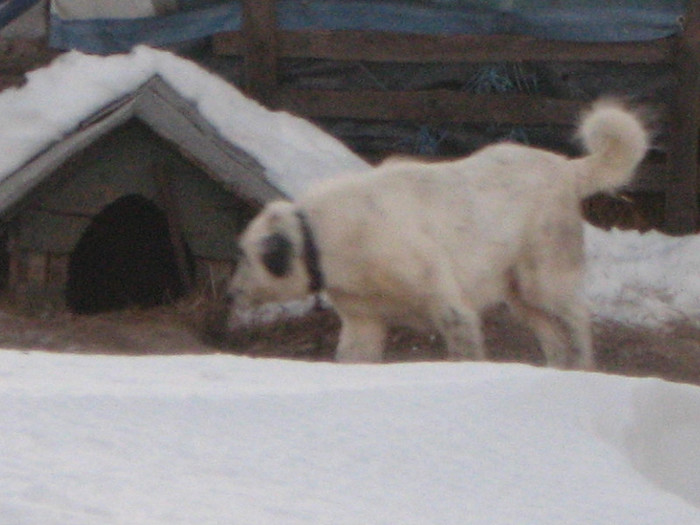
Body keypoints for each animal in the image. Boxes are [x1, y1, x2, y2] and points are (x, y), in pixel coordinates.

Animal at [230, 100, 644, 366]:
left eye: (247, 257)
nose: (230, 294)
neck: (320, 235)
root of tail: (567, 168)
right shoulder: (363, 326)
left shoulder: (452, 311)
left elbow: (465, 355)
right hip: (521, 296)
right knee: (555, 339)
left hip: (542, 281)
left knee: (577, 318)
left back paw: (583, 365)